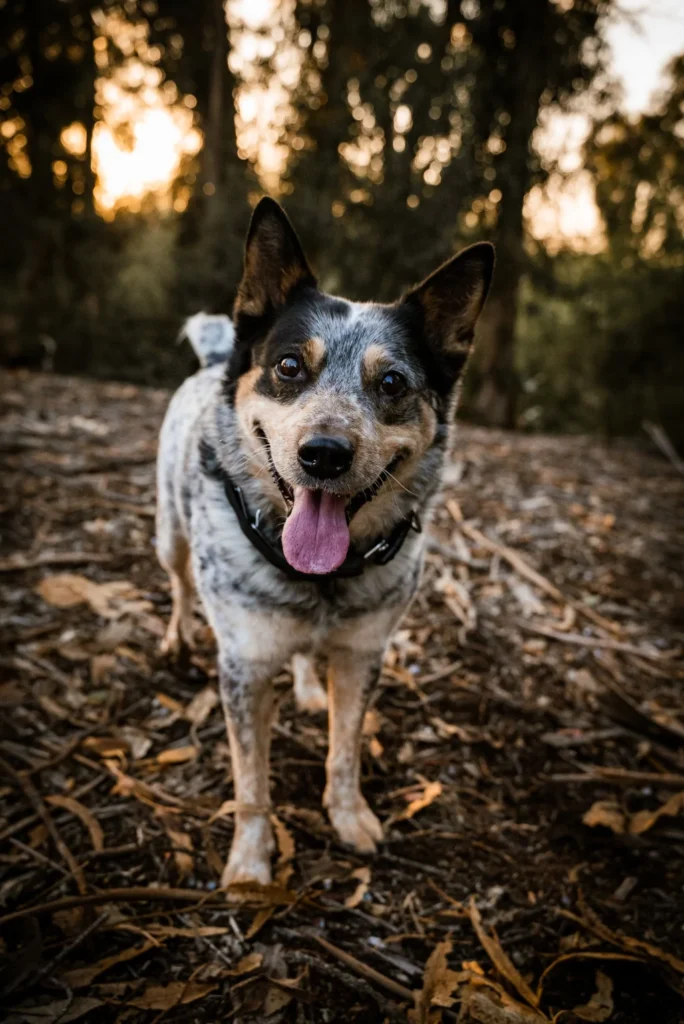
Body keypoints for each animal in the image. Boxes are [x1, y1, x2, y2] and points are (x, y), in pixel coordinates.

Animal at [157, 195, 493, 884]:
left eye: (392, 383)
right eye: (290, 366)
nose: (325, 454)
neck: (321, 579)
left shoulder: (363, 653)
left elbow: (345, 749)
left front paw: (348, 817)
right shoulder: (244, 665)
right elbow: (252, 782)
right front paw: (250, 866)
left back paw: (310, 689)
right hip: (169, 536)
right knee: (178, 586)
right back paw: (177, 636)